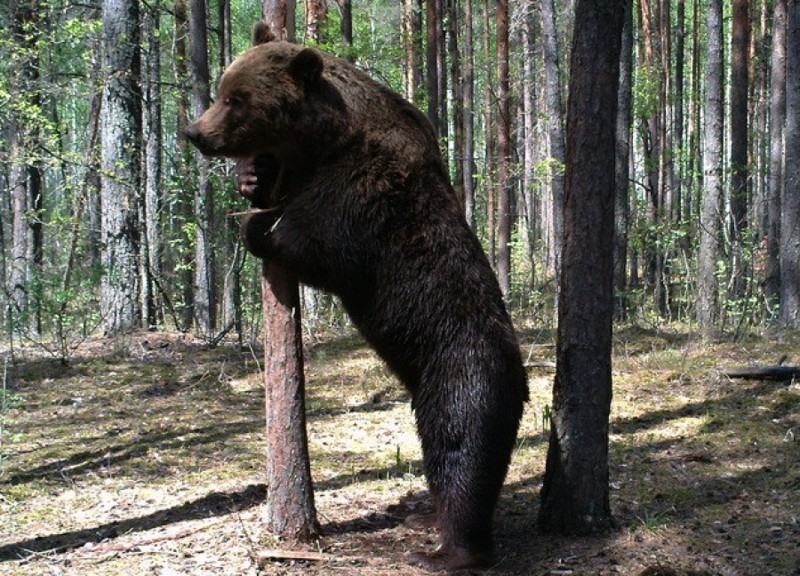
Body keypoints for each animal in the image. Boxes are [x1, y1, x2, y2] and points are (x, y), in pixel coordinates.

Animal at [184, 21, 528, 572]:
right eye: (222, 90)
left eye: (236, 99)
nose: (196, 133)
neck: (325, 139)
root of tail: (524, 375)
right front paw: (251, 178)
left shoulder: (363, 195)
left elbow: (319, 246)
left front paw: (259, 225)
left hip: (458, 377)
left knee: (458, 451)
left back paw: (450, 548)